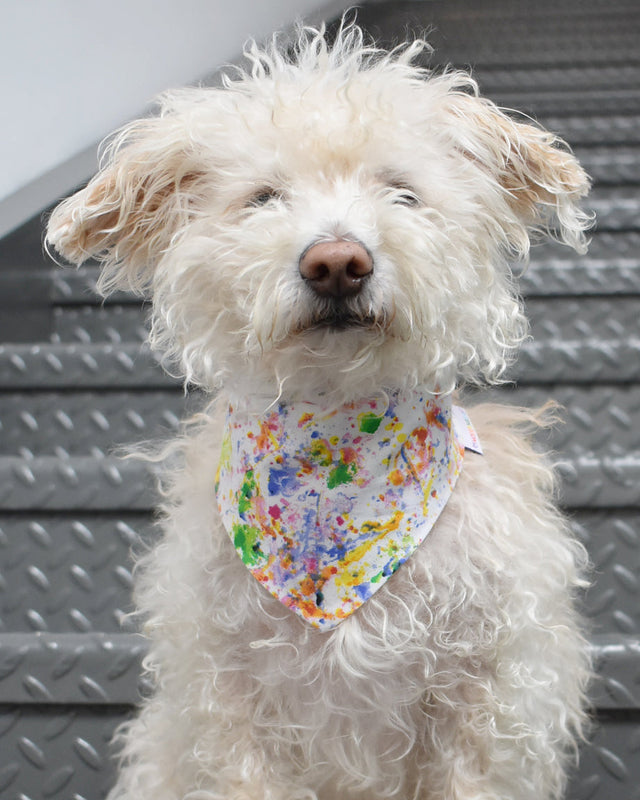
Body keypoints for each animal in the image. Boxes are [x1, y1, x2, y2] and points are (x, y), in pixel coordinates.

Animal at [47, 18, 592, 800]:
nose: (337, 263)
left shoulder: (489, 692)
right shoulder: (226, 697)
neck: (332, 456)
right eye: (262, 198)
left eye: (402, 193)